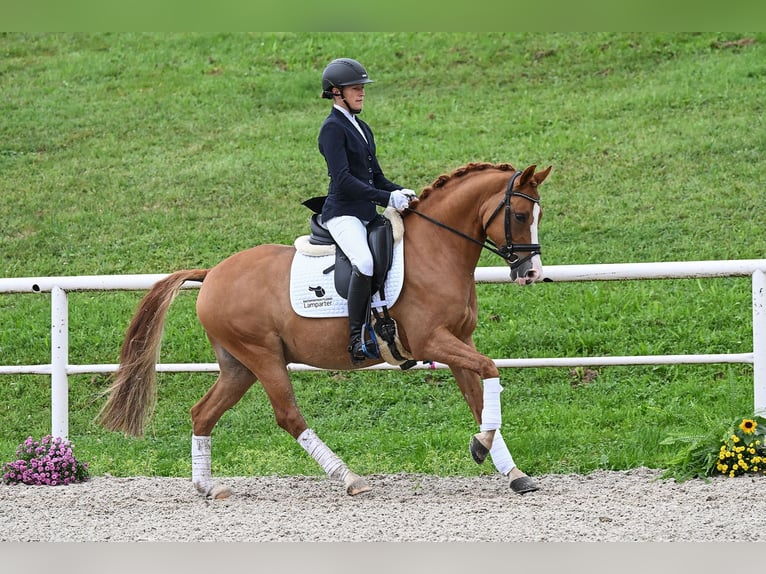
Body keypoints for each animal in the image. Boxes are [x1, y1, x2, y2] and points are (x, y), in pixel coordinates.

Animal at [99, 162, 552, 500]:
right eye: (519, 215)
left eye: (538, 215)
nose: (531, 273)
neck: (436, 250)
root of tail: (212, 274)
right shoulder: (433, 340)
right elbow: (491, 369)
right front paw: (481, 445)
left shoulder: (459, 341)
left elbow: (480, 396)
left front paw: (511, 470)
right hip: (263, 357)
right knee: (288, 416)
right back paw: (349, 478)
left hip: (239, 365)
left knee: (203, 412)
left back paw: (208, 487)